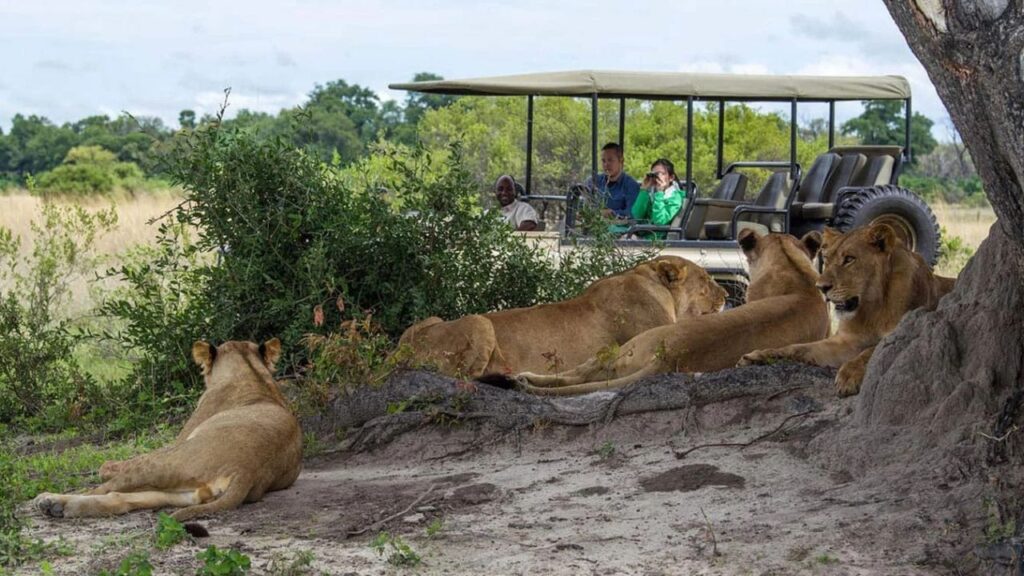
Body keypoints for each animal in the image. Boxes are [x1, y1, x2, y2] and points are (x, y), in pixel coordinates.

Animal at [33, 339, 302, 521]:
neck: (253, 373)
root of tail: (247, 471)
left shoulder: (177, 440)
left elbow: (111, 466)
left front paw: (107, 466)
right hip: (187, 491)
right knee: (121, 499)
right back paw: (59, 507)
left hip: (168, 462)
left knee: (104, 488)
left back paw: (48, 500)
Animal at [515, 230, 830, 395]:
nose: (727, 295)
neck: (798, 274)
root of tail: (668, 357)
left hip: (620, 349)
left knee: (579, 375)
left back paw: (523, 378)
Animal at [739, 223, 956, 396]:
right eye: (826, 258)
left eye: (849, 259)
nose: (821, 287)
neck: (872, 307)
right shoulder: (845, 341)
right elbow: (798, 348)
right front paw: (759, 356)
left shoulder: (903, 333)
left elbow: (871, 351)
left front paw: (849, 376)